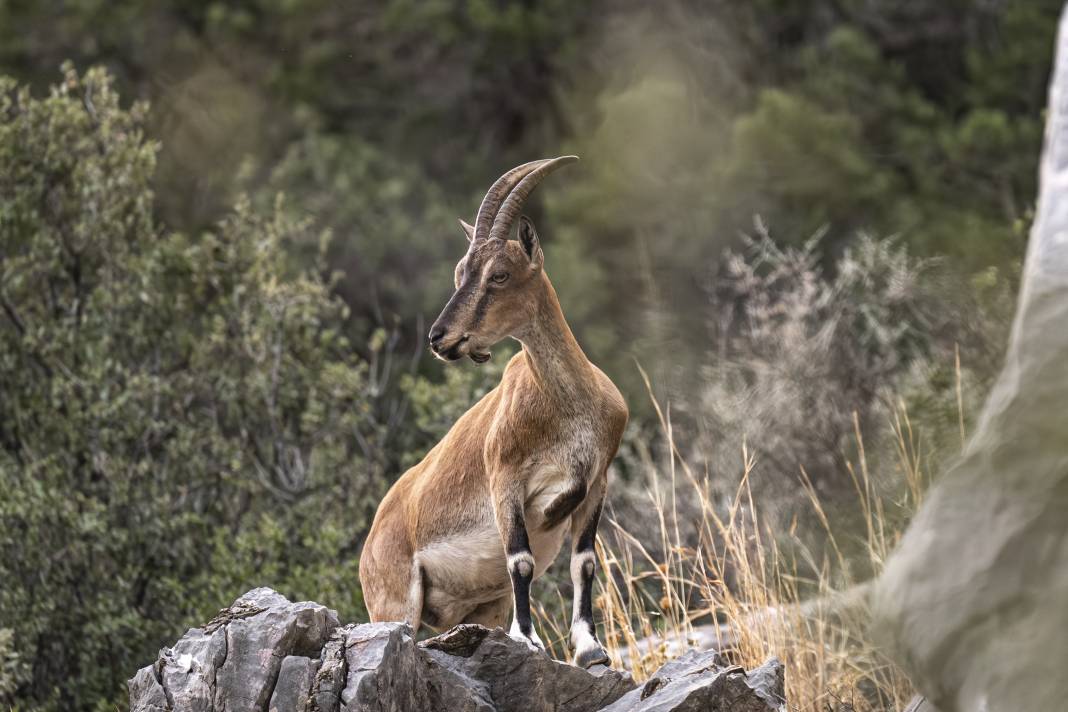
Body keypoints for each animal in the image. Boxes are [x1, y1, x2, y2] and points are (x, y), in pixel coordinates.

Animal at [360, 156, 623, 670]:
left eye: (498, 274)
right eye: (461, 270)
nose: (440, 337)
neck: (566, 407)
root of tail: (372, 538)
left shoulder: (595, 482)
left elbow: (584, 562)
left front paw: (590, 650)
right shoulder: (505, 480)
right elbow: (520, 559)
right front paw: (528, 639)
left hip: (482, 603)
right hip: (394, 604)